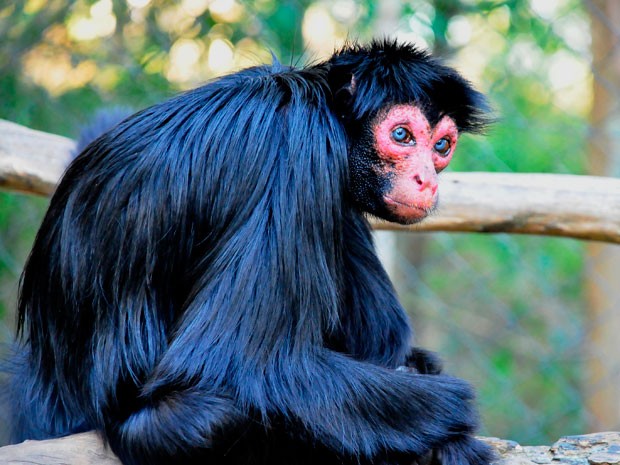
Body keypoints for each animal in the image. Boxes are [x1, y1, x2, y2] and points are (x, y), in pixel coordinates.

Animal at [9, 40, 492, 464]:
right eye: (402, 135)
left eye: (441, 146)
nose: (427, 180)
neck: (318, 103)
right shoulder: (294, 145)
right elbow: (241, 365)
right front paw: (456, 414)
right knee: (216, 415)